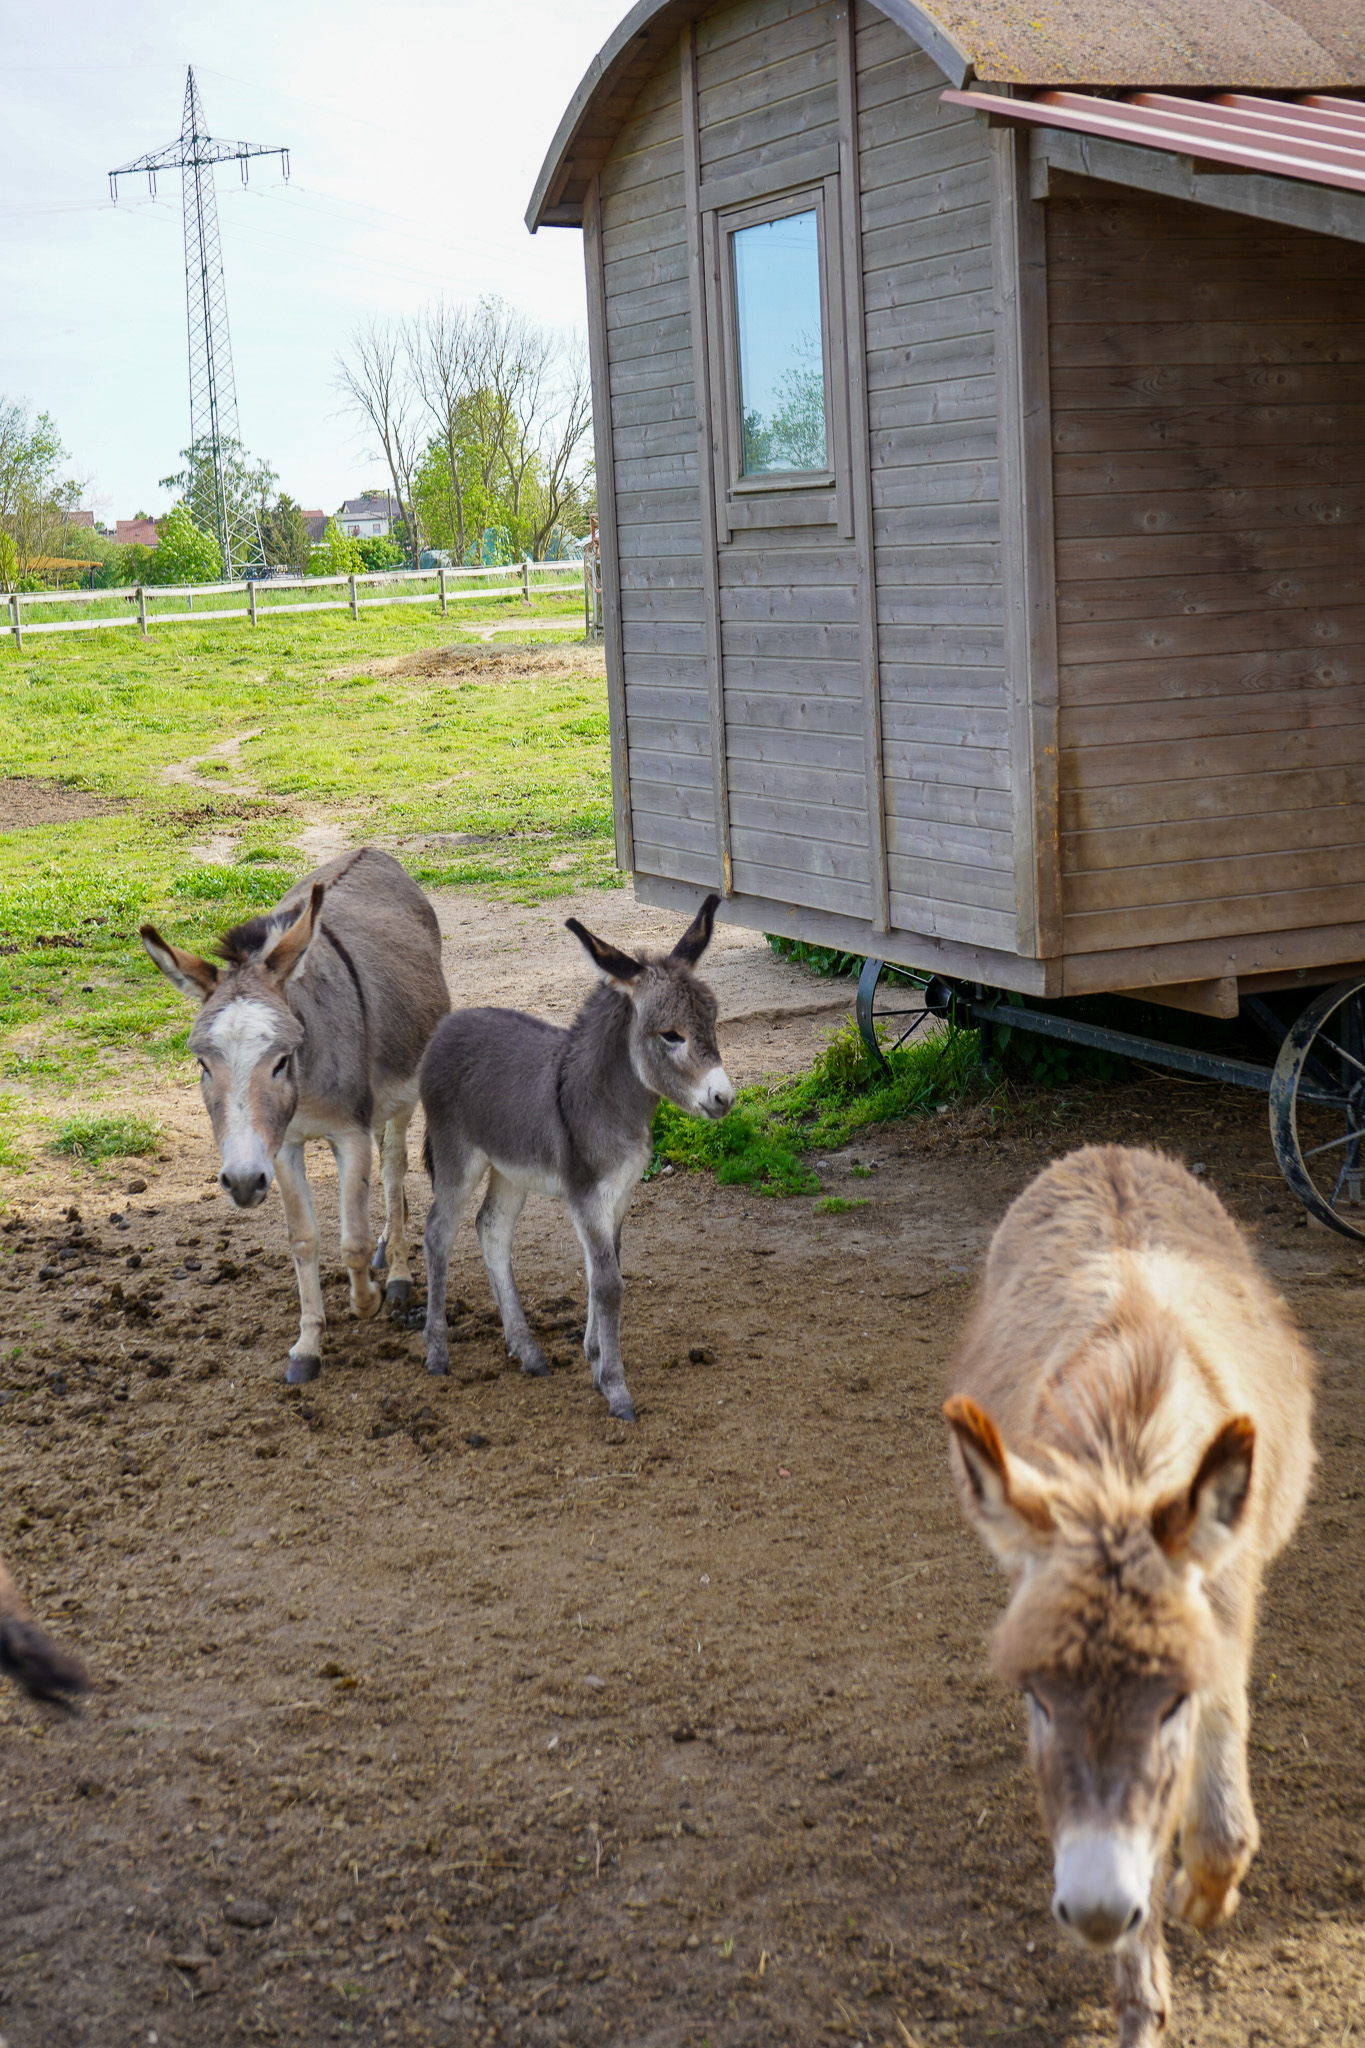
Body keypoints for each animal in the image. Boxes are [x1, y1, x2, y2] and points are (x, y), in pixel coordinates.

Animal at [142, 848, 450, 1383]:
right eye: (202, 1063)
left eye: (282, 1059)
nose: (242, 1182)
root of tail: (370, 851)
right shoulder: (280, 1149)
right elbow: (303, 1240)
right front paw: (307, 1346)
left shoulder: (349, 1133)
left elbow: (352, 1240)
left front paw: (367, 1299)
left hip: (404, 1096)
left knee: (393, 1170)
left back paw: (399, 1271)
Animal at [419, 893, 734, 1422]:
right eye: (670, 1035)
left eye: (711, 1024)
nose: (723, 1099)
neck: (606, 1101)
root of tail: (447, 1025)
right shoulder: (586, 1196)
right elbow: (608, 1284)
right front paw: (615, 1388)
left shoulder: (621, 1194)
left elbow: (604, 1268)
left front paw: (594, 1357)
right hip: (457, 1157)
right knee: (438, 1232)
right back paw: (437, 1353)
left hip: (510, 1169)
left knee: (491, 1229)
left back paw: (527, 1352)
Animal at [944, 1145, 1314, 2048]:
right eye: (1035, 1700)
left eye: (1172, 1700)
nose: (1096, 1910)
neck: (1124, 1458)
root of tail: (1106, 1150)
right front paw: (1140, 1996)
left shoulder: (1220, 1626)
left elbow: (1219, 1824)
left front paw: (1198, 1898)